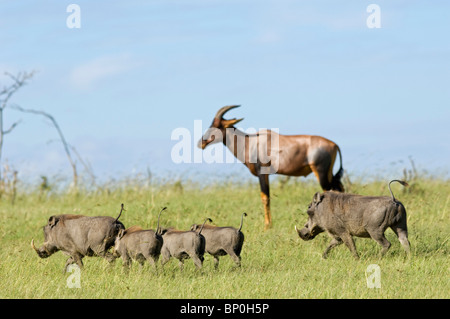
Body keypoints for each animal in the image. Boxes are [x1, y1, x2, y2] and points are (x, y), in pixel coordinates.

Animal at [198, 106, 344, 231]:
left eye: (217, 125)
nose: (201, 143)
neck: (251, 142)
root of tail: (334, 145)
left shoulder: (262, 174)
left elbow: (265, 198)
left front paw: (267, 226)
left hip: (321, 172)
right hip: (329, 174)